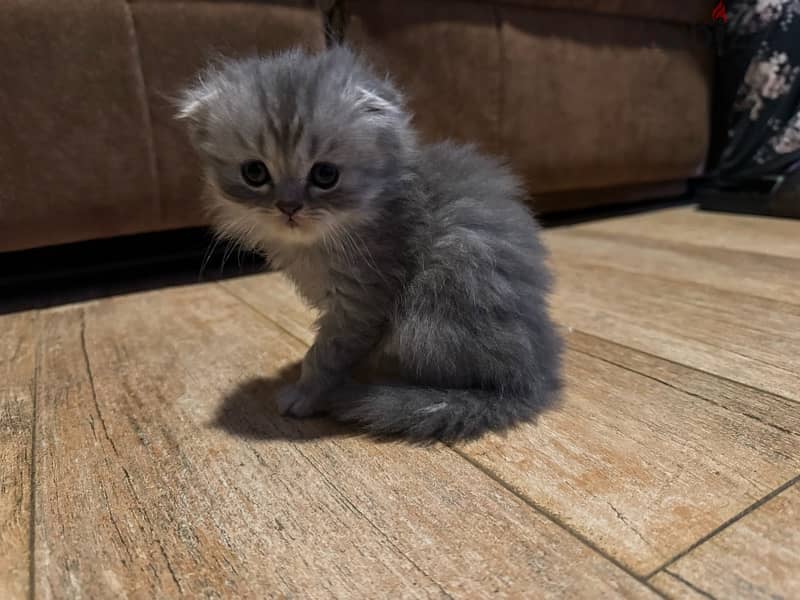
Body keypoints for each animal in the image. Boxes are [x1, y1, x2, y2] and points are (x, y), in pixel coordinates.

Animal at [177, 45, 564, 440]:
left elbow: (324, 356)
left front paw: (307, 394)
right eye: (254, 173)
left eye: (325, 175)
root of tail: (534, 378)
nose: (288, 207)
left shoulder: (361, 303)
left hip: (428, 310)